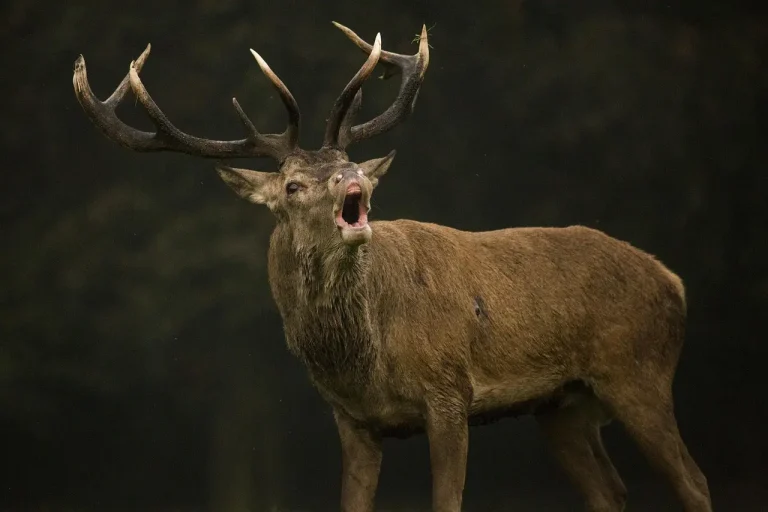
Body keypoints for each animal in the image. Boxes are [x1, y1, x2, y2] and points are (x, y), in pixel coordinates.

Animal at [72, 22, 712, 512]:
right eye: (293, 185)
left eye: (352, 163)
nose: (352, 179)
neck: (365, 359)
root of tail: (674, 281)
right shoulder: (352, 420)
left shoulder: (450, 392)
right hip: (562, 406)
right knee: (611, 490)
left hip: (638, 371)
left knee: (694, 481)